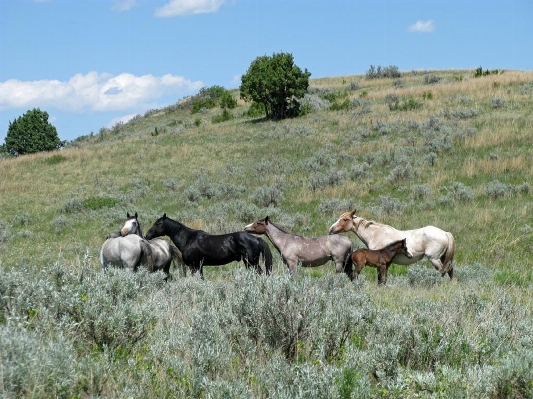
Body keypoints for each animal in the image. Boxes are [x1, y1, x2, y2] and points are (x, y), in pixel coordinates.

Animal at [143, 214, 272, 280]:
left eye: (158, 224)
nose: (146, 235)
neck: (188, 238)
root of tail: (256, 239)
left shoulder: (194, 265)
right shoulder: (199, 266)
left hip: (252, 263)